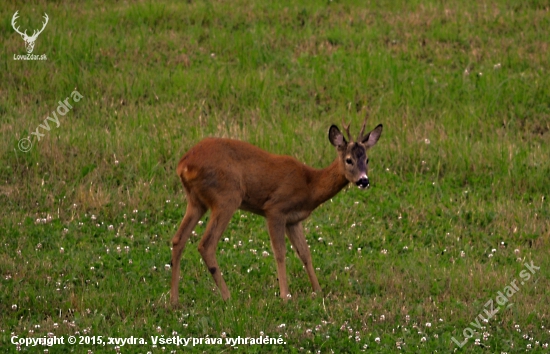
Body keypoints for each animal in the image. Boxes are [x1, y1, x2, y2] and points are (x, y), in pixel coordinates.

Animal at [171, 120, 384, 302]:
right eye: (349, 160)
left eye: (367, 159)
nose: (364, 180)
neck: (309, 185)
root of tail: (183, 165)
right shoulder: (275, 209)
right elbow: (280, 253)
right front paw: (285, 295)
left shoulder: (293, 220)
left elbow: (305, 253)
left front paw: (318, 291)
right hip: (227, 197)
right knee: (206, 244)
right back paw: (227, 297)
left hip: (196, 201)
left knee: (178, 239)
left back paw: (173, 301)